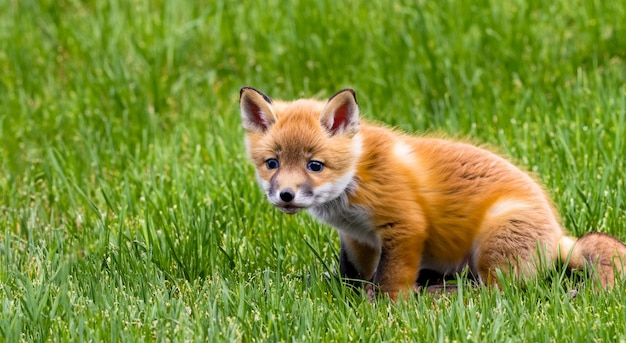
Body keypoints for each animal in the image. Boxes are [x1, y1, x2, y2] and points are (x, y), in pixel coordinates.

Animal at [238, 86, 624, 300]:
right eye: (272, 163)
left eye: (315, 165)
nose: (286, 196)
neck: (356, 178)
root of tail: (559, 236)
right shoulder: (358, 238)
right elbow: (355, 274)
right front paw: (351, 293)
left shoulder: (404, 225)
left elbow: (390, 278)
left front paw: (386, 306)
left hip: (494, 242)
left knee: (500, 294)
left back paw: (442, 295)